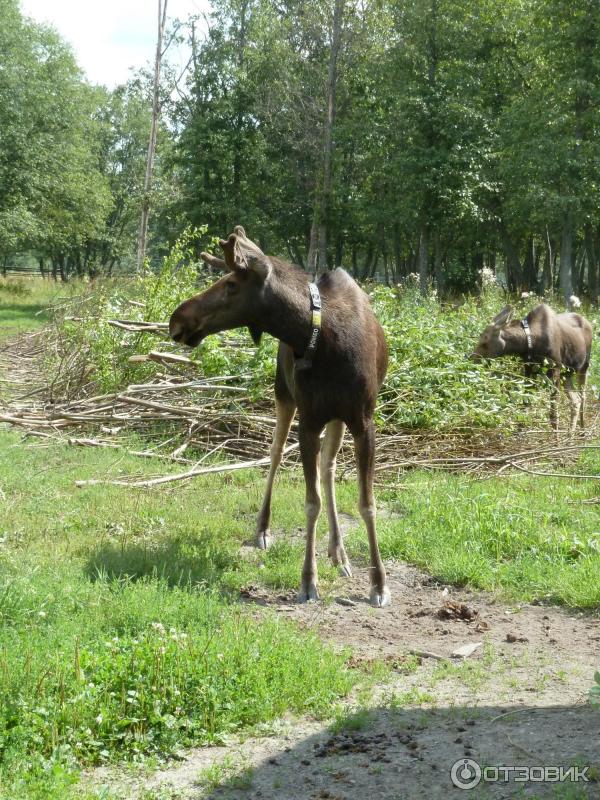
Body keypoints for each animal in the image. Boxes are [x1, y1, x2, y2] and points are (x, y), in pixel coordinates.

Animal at [170, 225, 394, 608]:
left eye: (232, 284)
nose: (177, 319)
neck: (324, 339)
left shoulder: (363, 420)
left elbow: (367, 503)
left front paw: (378, 583)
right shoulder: (309, 419)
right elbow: (310, 502)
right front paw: (308, 580)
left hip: (335, 417)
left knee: (328, 466)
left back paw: (339, 552)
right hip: (284, 395)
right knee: (275, 454)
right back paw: (263, 529)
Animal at [472, 302, 592, 432]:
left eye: (485, 343)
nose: (471, 358)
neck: (529, 344)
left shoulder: (555, 369)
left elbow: (553, 414)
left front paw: (555, 438)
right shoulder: (529, 369)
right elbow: (526, 404)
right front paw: (520, 431)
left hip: (584, 366)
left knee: (583, 396)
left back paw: (583, 431)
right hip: (567, 374)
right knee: (576, 400)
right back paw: (571, 433)